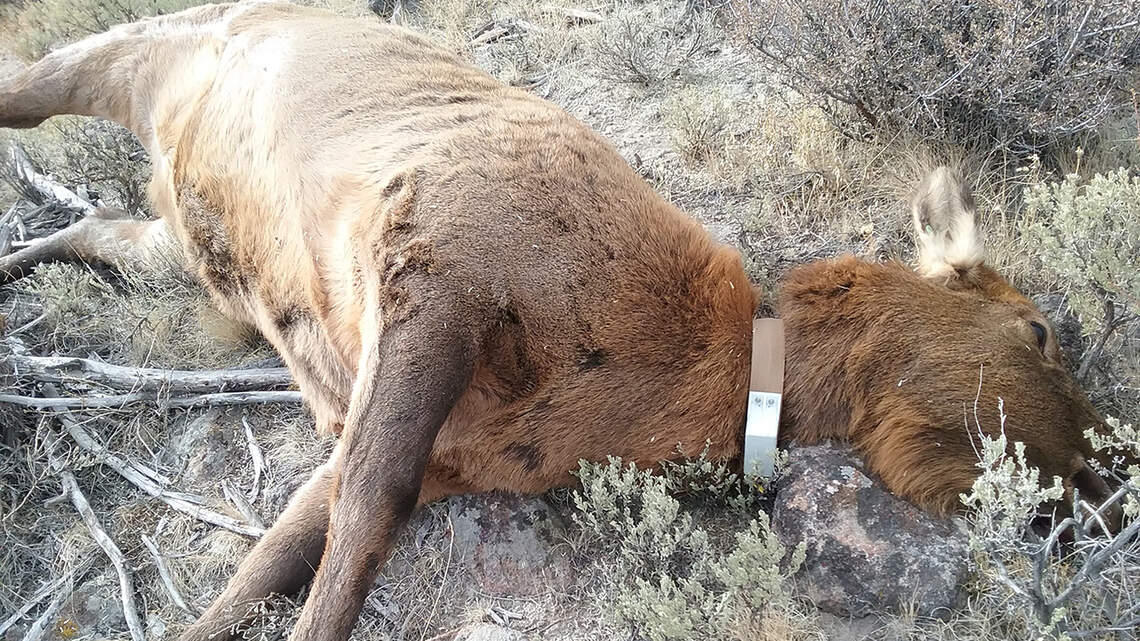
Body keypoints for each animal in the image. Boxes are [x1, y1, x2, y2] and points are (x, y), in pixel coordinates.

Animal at [0, 2, 1124, 640]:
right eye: (1039, 332)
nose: (1111, 477)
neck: (702, 373)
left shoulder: (426, 433)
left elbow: (271, 564)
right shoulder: (438, 257)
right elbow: (361, 520)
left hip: (186, 233)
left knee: (101, 223)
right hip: (146, 45)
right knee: (31, 90)